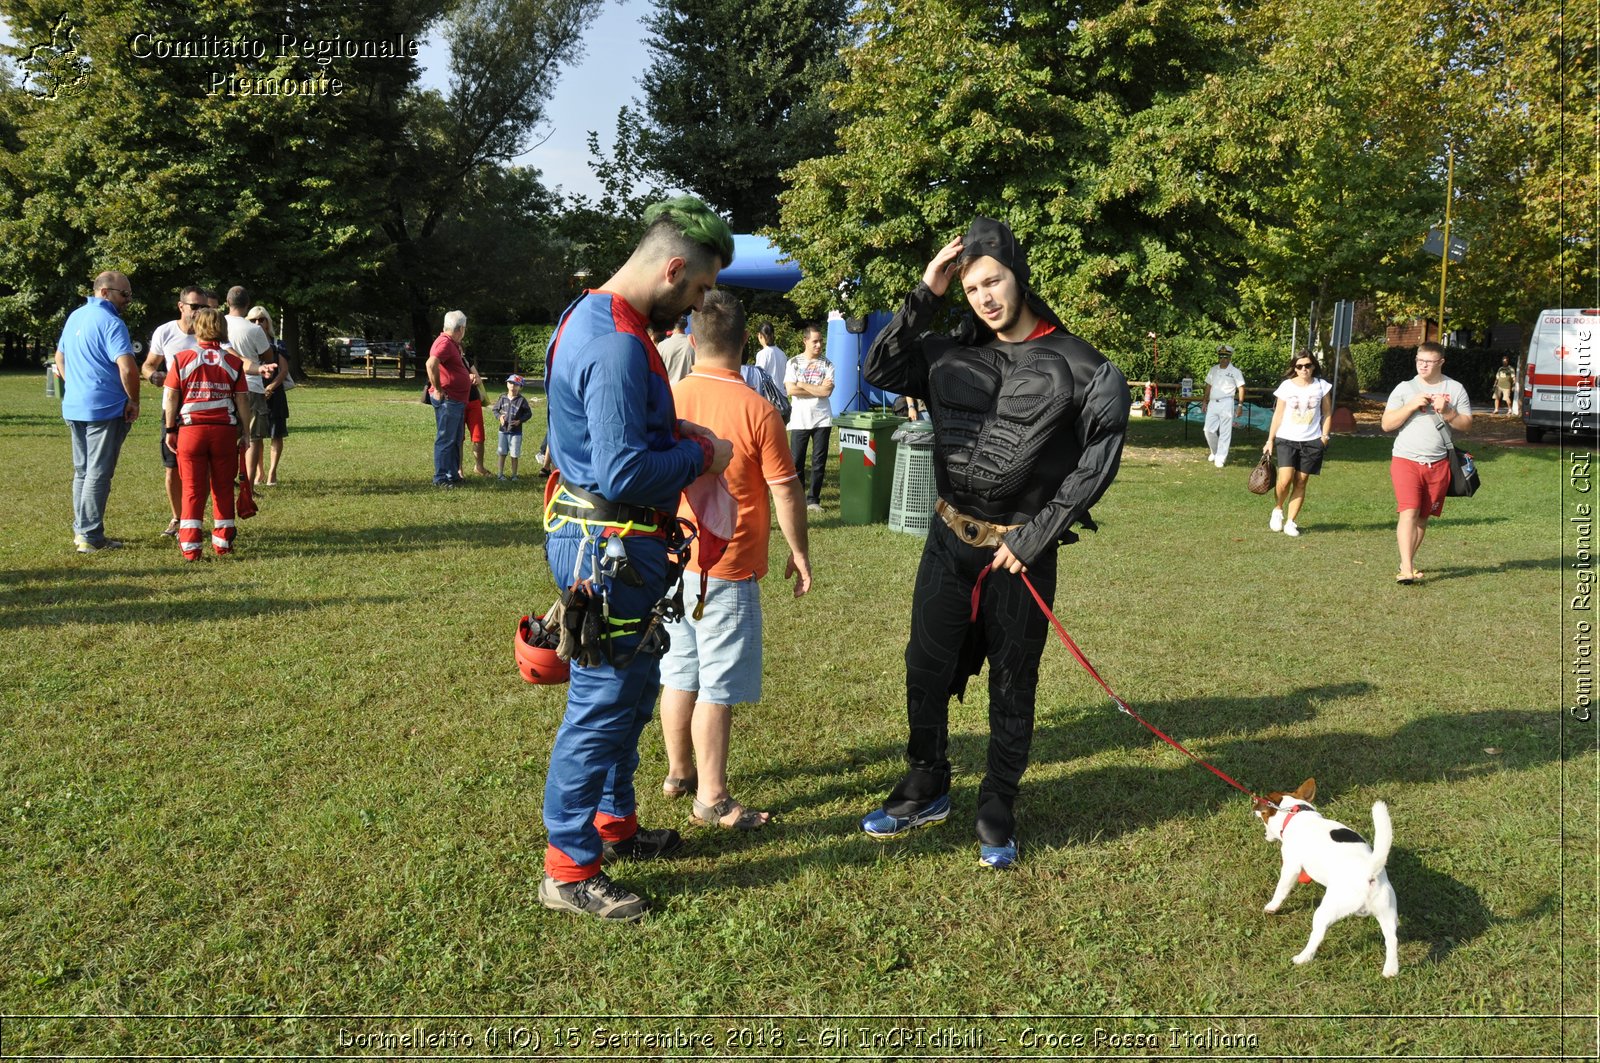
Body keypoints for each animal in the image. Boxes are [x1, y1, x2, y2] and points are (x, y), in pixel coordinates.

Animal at [1254, 778, 1395, 973]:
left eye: (1264, 815)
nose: (1254, 808)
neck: (1297, 813)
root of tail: (1369, 871)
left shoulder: (1291, 866)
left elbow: (1281, 890)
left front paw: (1272, 907)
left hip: (1328, 910)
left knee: (1317, 936)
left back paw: (1302, 958)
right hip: (1387, 911)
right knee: (1392, 939)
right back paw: (1391, 970)